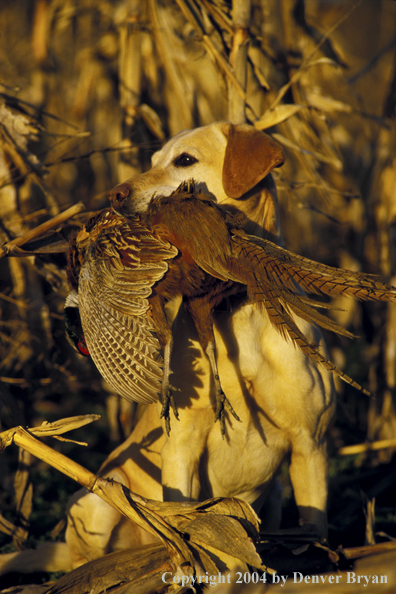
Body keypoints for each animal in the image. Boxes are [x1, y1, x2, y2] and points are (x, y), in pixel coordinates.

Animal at [0, 123, 334, 572]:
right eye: (153, 160)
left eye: (185, 159)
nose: (115, 195)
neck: (236, 310)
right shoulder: (181, 448)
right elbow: (186, 514)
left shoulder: (310, 446)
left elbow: (315, 526)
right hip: (97, 499)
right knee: (92, 550)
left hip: (277, 496)